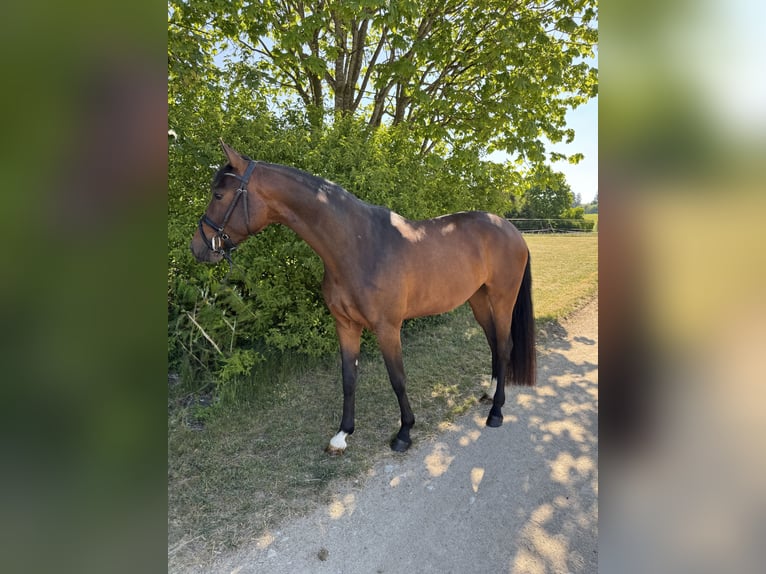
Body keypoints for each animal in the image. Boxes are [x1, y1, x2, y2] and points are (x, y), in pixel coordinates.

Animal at [190, 141, 536, 454]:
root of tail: (512, 230)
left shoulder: (387, 328)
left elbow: (397, 378)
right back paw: (489, 394)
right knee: (494, 344)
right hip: (478, 300)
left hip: (502, 299)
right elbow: (348, 378)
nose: (198, 247)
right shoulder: (345, 325)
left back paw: (496, 412)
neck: (357, 247)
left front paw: (404, 433)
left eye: (218, 195)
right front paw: (342, 435)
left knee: (504, 346)